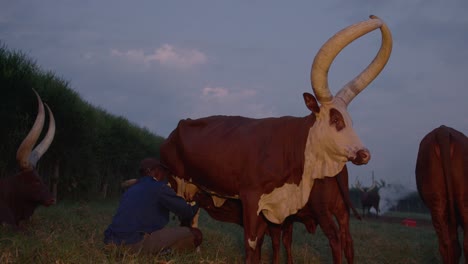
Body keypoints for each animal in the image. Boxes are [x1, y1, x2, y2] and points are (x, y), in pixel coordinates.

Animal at [160, 15, 392, 262]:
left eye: (350, 120)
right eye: (336, 119)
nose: (364, 154)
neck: (295, 148)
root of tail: (178, 128)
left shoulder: (278, 211)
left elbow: (269, 242)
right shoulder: (251, 198)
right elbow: (253, 243)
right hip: (178, 183)